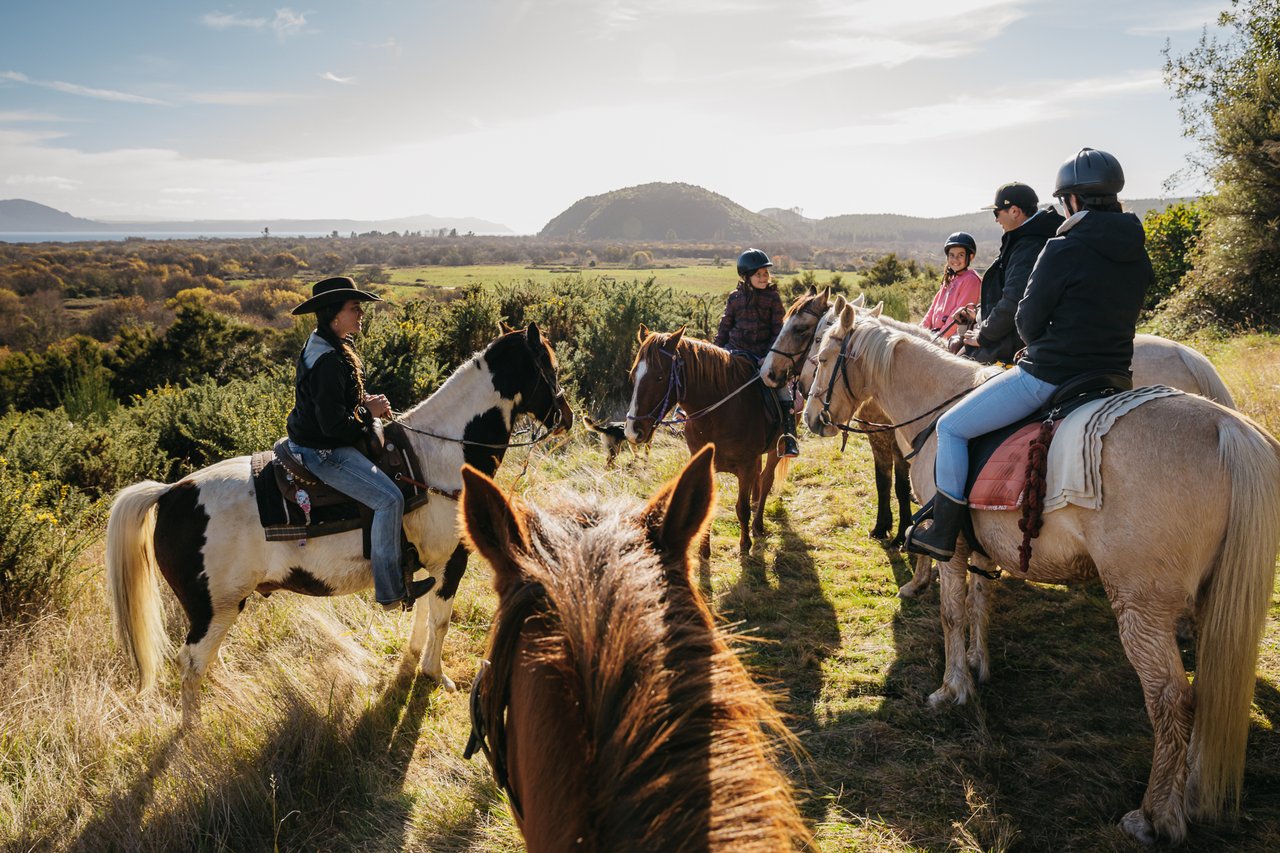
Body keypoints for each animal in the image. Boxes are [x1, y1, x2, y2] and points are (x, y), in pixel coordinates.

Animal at [106, 323, 573, 726]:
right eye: (547, 365)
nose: (566, 416)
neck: (439, 458)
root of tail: (172, 492)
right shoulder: (451, 561)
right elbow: (440, 619)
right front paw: (436, 675)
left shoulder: (429, 565)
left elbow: (424, 613)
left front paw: (414, 660)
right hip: (213, 608)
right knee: (191, 662)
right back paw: (193, 732)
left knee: (205, 662)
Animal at [624, 325, 790, 555]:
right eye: (633, 376)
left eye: (659, 377)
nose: (632, 431)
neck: (719, 415)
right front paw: (704, 550)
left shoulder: (746, 466)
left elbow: (742, 508)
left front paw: (744, 545)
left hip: (778, 447)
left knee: (766, 480)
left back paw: (757, 525)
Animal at [804, 301, 1280, 845]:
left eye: (822, 356)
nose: (810, 417)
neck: (937, 405)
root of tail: (1228, 429)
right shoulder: (982, 547)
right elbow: (979, 604)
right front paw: (978, 665)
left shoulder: (952, 548)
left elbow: (951, 614)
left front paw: (952, 688)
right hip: (1208, 600)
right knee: (1208, 693)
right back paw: (1194, 792)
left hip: (1141, 607)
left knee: (1171, 700)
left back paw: (1156, 815)